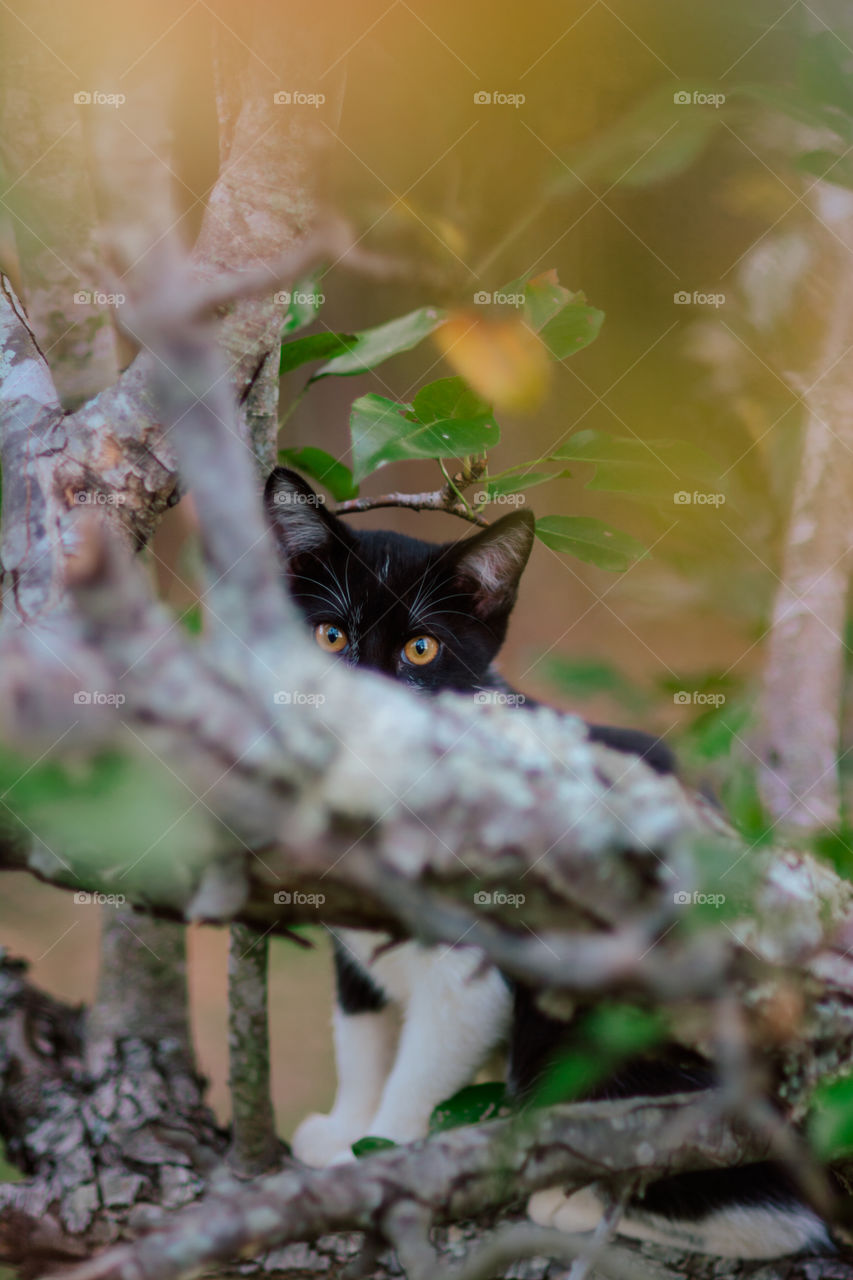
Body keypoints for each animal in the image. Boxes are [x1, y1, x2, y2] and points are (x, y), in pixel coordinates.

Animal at [267, 465, 829, 1254]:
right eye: (329, 635)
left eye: (421, 650)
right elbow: (360, 1027)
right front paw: (346, 1128)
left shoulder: (480, 965)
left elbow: (425, 1068)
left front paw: (379, 1158)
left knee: (775, 1210)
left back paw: (576, 1202)